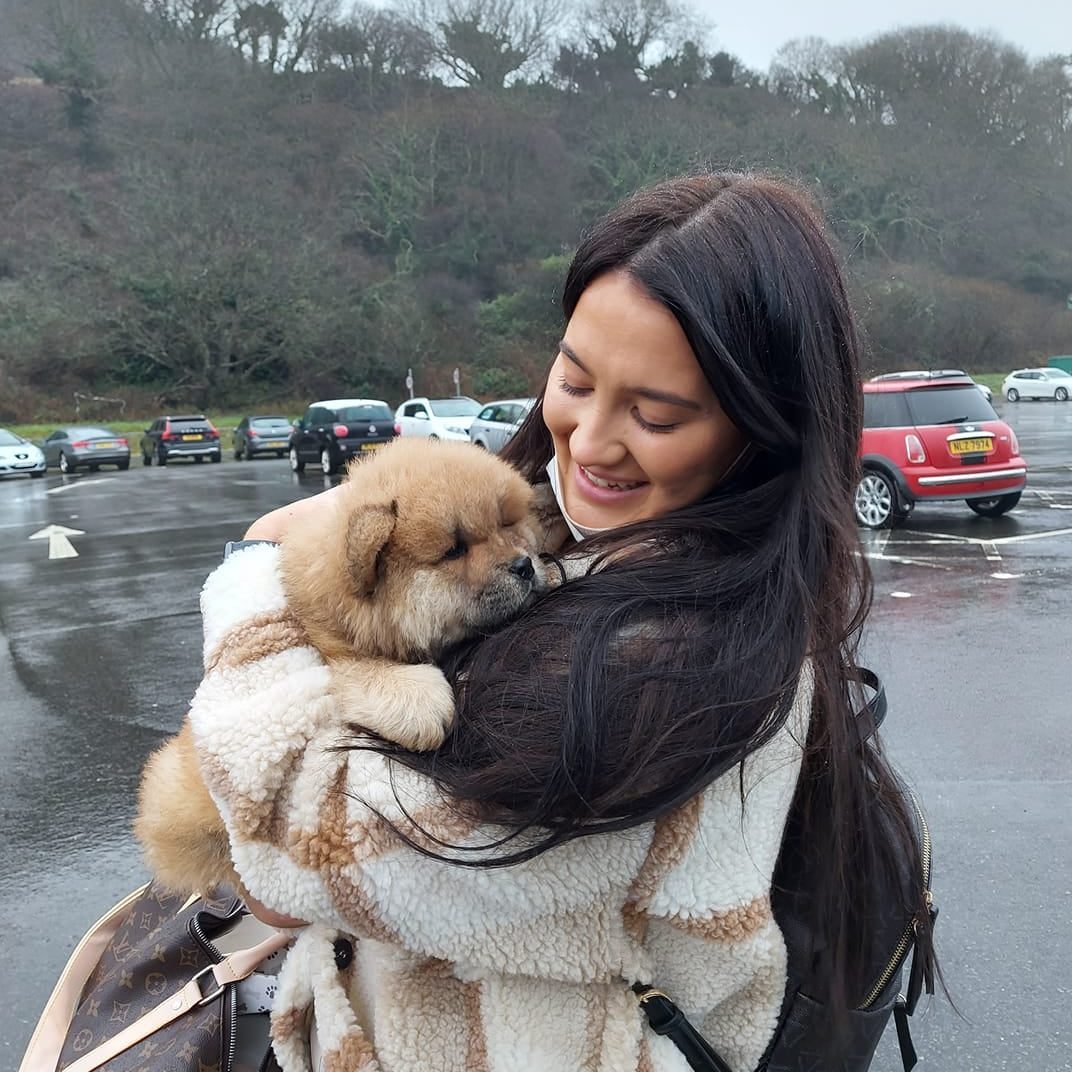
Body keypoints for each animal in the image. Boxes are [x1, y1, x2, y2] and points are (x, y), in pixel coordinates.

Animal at [136, 437, 544, 896]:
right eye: (455, 550)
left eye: (507, 525)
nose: (525, 565)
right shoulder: (321, 645)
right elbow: (355, 670)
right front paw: (419, 699)